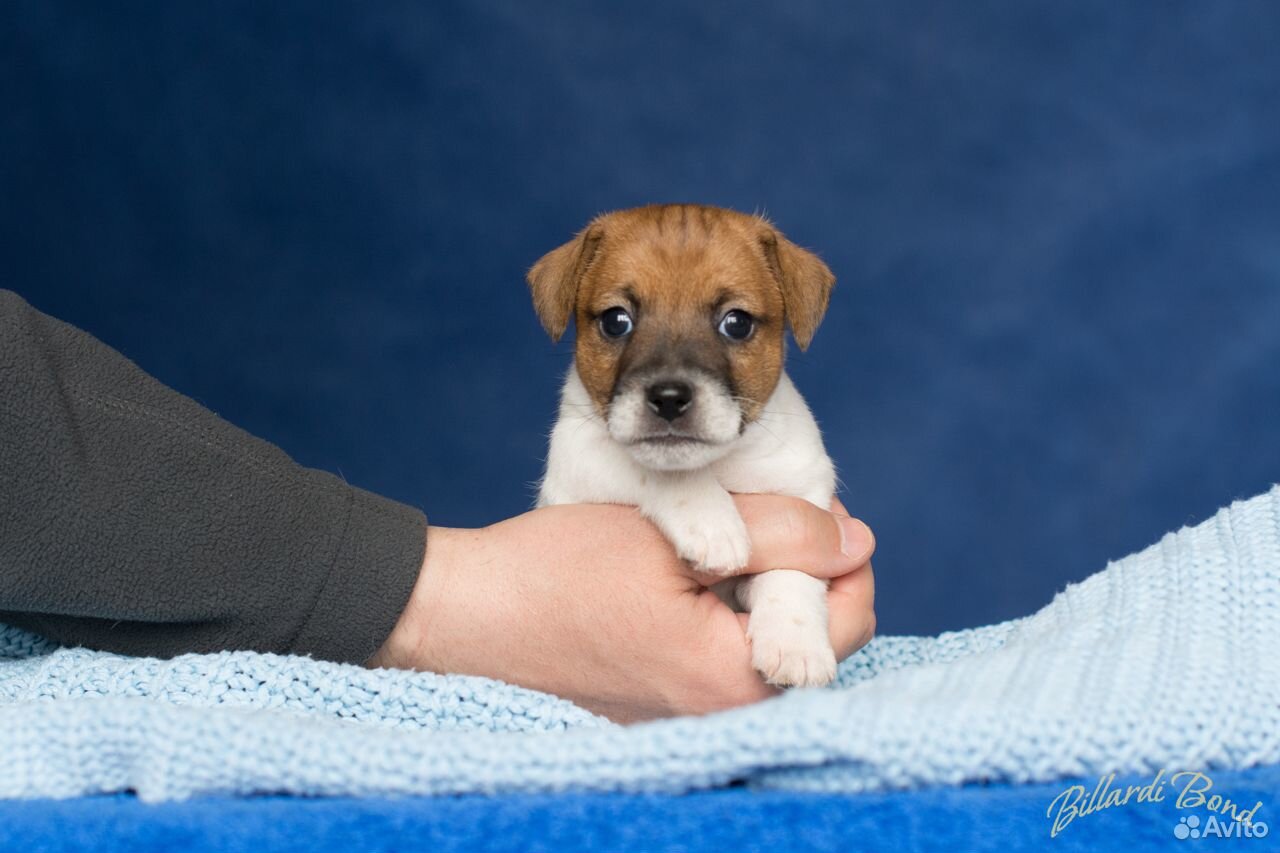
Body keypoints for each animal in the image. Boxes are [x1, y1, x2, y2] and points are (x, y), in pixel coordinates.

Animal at [529, 204, 839, 686]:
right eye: (616, 321)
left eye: (737, 323)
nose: (670, 398)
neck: (722, 463)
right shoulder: (578, 456)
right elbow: (653, 471)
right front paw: (713, 524)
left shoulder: (804, 493)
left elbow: (795, 569)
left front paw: (795, 643)